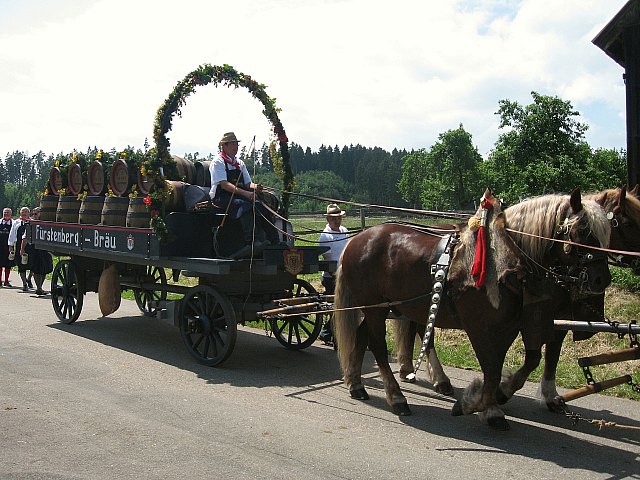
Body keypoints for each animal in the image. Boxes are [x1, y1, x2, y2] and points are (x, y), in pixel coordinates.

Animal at [336, 189, 608, 430]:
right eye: (582, 231)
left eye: (606, 232)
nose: (601, 279)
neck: (504, 260)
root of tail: (357, 239)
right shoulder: (479, 327)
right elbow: (491, 369)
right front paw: (481, 407)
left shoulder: (510, 327)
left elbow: (509, 365)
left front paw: (492, 401)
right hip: (375, 307)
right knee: (378, 346)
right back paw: (396, 397)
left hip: (381, 306)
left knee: (362, 335)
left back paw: (356, 384)